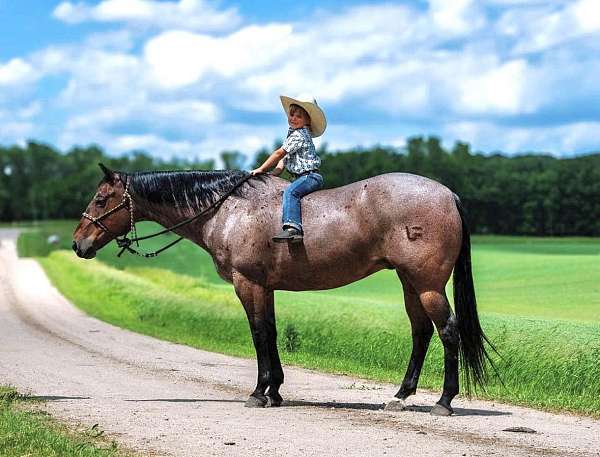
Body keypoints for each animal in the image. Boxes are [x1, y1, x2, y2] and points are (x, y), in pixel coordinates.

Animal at [72, 163, 494, 414]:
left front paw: (260, 392)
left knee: (448, 332)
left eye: (101, 199)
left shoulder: (248, 284)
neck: (228, 209)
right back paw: (401, 395)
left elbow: (259, 334)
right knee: (421, 333)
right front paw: (275, 390)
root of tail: (448, 194)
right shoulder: (266, 288)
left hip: (427, 285)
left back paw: (444, 401)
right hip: (410, 284)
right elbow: (271, 333)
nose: (78, 244)